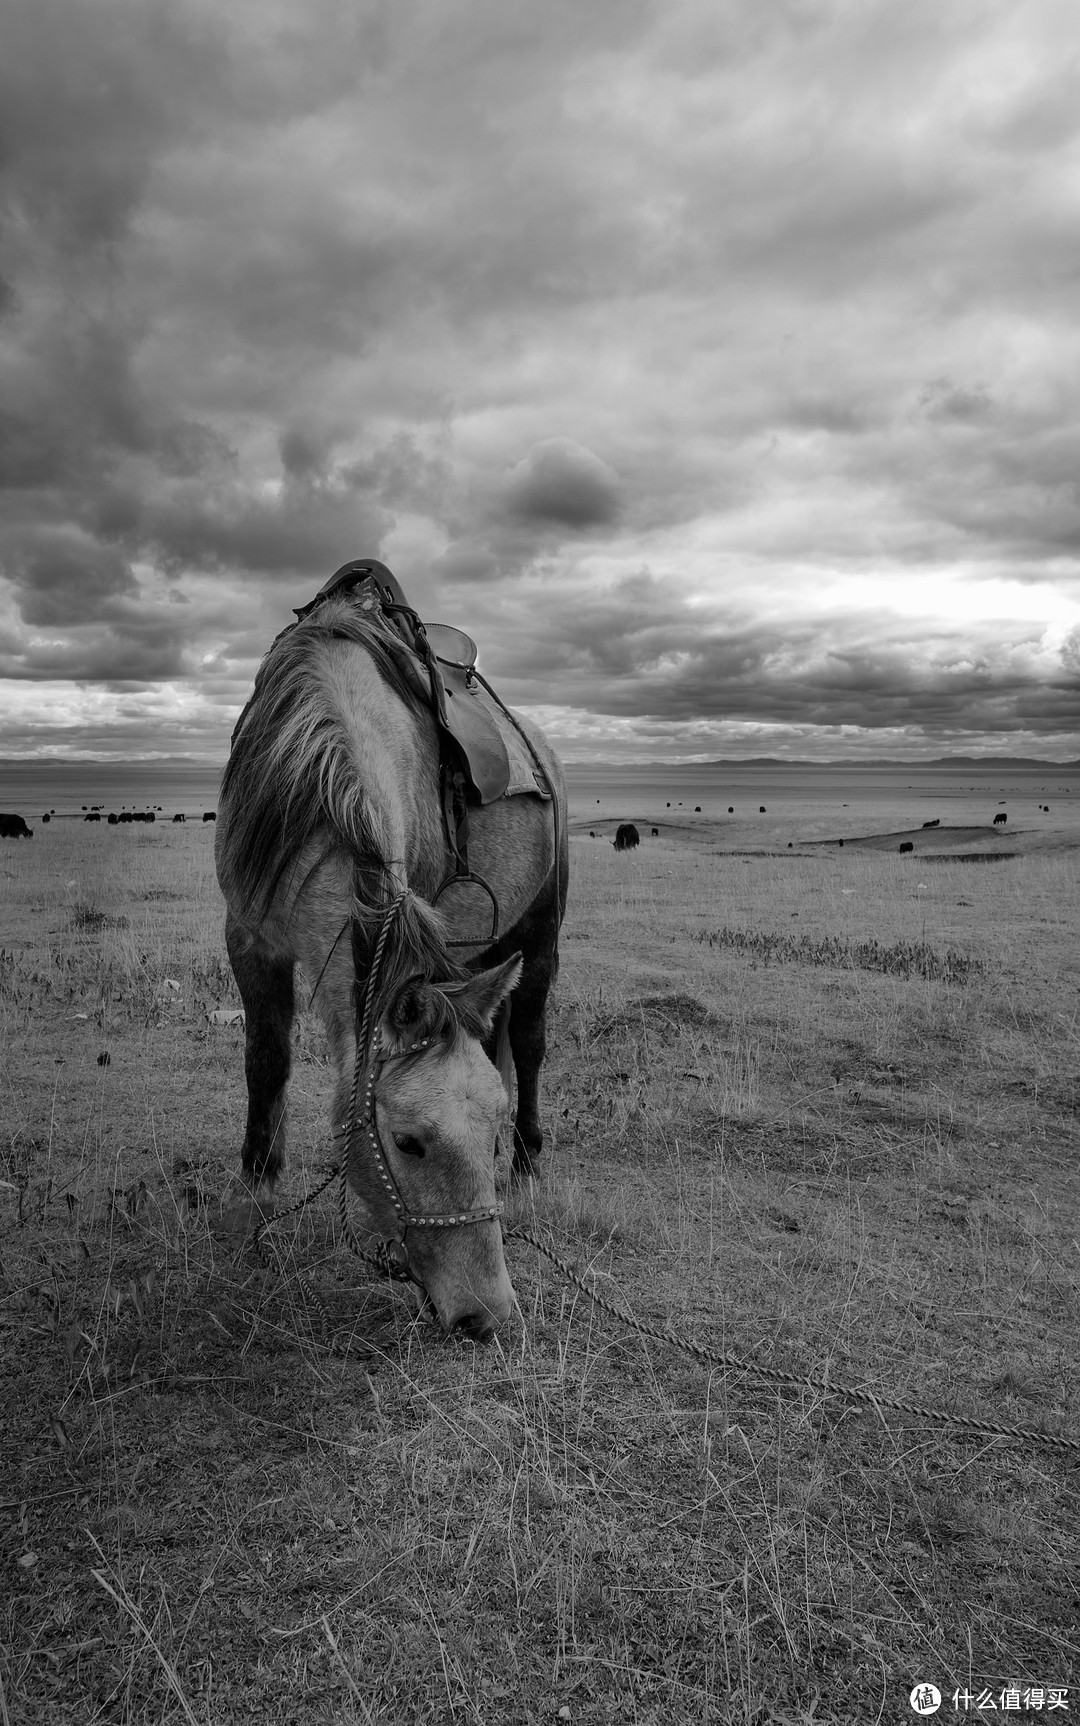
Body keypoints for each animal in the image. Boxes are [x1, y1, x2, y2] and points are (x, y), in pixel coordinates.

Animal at [211, 576, 562, 1332]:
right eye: (408, 1142)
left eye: (486, 1132)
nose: (487, 1317)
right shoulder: (248, 937)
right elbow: (266, 1061)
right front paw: (254, 1202)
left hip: (541, 931)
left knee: (530, 1041)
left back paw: (527, 1171)